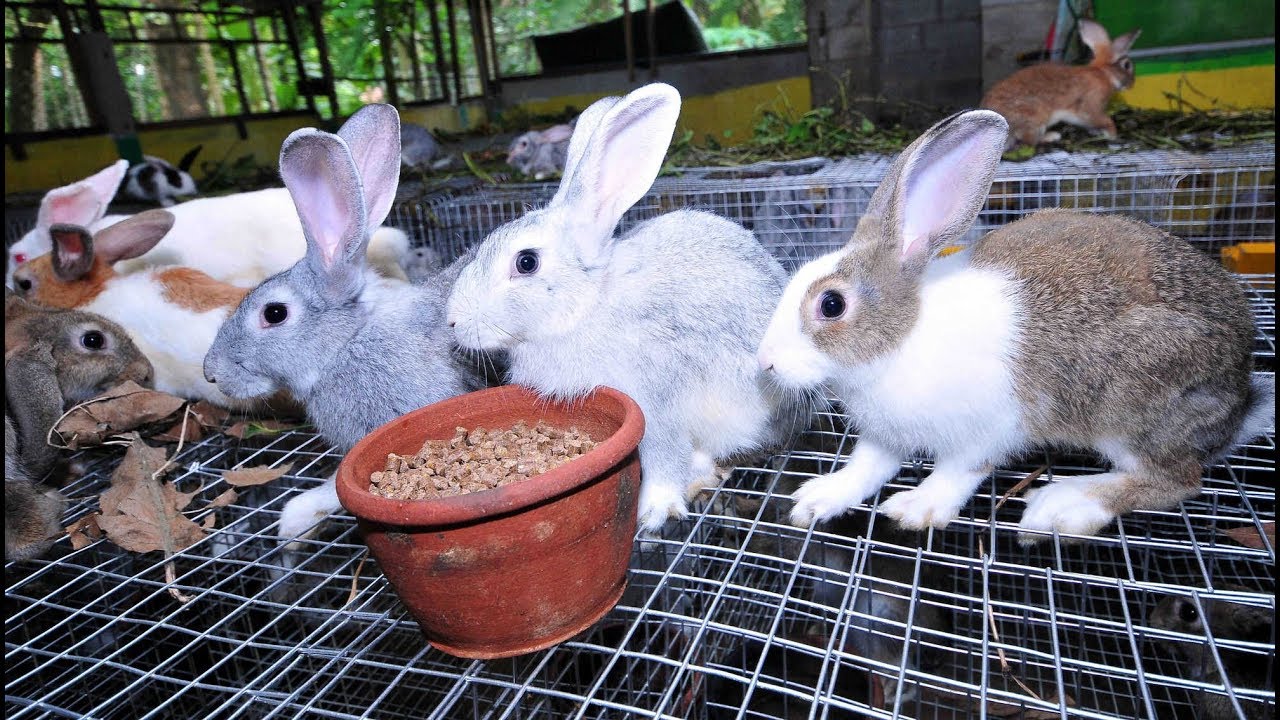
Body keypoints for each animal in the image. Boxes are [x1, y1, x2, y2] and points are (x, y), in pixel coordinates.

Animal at [447, 83, 809, 534]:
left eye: (526, 262)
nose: (453, 321)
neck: (588, 304)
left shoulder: (655, 401)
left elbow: (664, 456)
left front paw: (653, 513)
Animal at [757, 109, 1274, 544]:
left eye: (831, 304)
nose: (765, 364)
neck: (900, 338)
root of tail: (1239, 401)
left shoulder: (987, 429)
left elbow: (958, 470)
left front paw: (916, 508)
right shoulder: (885, 435)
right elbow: (866, 466)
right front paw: (817, 499)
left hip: (1132, 410)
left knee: (1176, 481)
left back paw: (1064, 505)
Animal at [981, 19, 1142, 149]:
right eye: (1127, 65)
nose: (1132, 84)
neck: (1104, 73)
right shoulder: (1091, 106)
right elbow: (1103, 119)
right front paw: (1113, 134)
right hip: (1036, 119)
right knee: (1029, 141)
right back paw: (1052, 136)